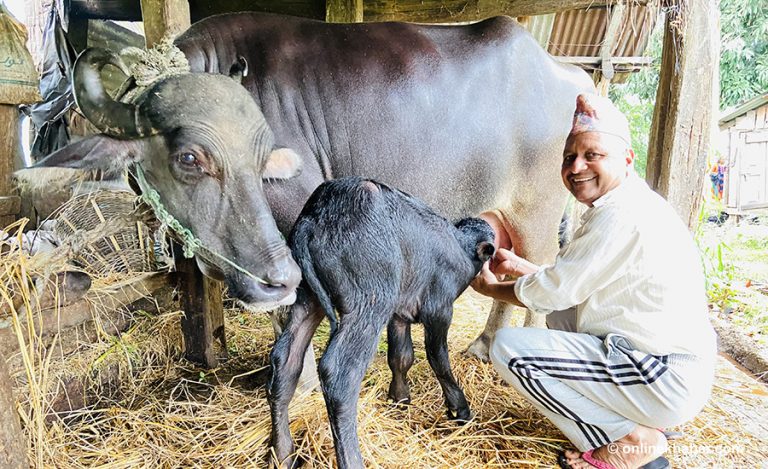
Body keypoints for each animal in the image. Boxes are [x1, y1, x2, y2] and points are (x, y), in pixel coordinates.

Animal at [270, 177, 498, 466]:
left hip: (307, 299)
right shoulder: (439, 309)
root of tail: (315, 217)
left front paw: (399, 399)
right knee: (339, 373)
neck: (460, 248)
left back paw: (282, 454)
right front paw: (459, 409)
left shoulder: (400, 313)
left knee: (285, 360)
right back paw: (352, 460)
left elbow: (401, 356)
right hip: (369, 302)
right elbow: (438, 359)